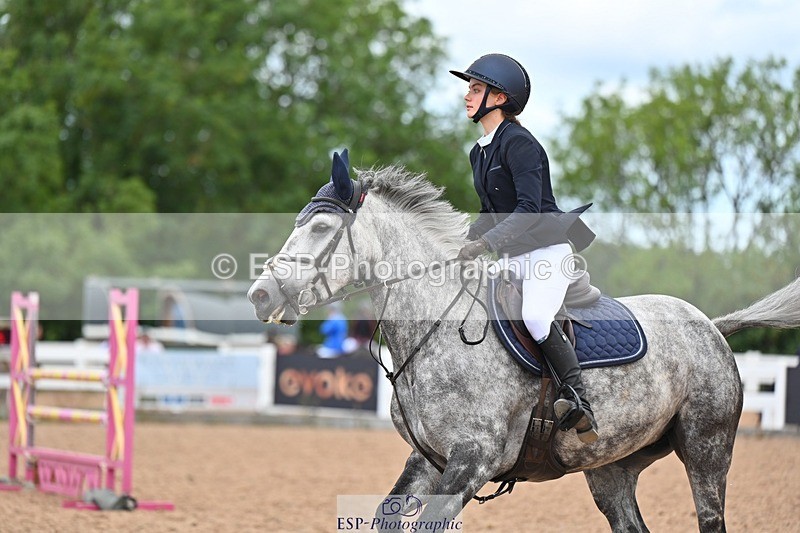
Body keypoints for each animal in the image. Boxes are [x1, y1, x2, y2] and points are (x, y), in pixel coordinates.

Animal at [248, 152, 800, 532]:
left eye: (321, 227)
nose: (261, 294)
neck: (437, 326)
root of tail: (710, 325)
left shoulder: (472, 460)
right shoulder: (429, 461)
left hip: (707, 448)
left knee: (711, 515)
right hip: (611, 467)